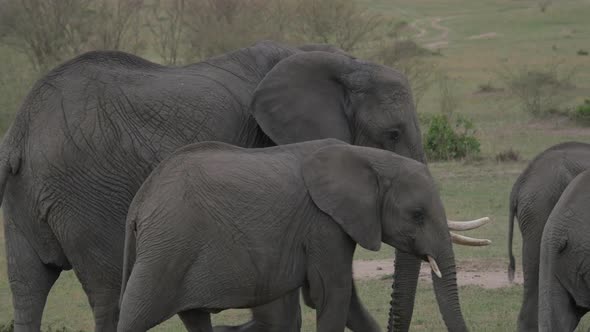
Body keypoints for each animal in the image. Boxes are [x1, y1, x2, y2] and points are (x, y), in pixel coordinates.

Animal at [119, 139, 476, 330]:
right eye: (417, 215)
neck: (368, 157)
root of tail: (139, 202)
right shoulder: (324, 226)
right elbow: (332, 294)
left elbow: (348, 303)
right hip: (167, 248)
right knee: (135, 314)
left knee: (194, 319)